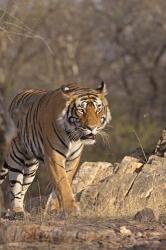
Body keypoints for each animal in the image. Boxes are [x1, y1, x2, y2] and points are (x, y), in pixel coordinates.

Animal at [0, 82, 111, 219]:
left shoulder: (73, 159)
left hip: (31, 167)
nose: (92, 127)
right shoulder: (54, 157)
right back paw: (17, 211)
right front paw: (71, 210)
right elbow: (62, 183)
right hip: (16, 156)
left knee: (23, 188)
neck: (73, 137)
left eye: (98, 109)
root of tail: (18, 96)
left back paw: (19, 211)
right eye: (81, 110)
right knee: (15, 186)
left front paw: (55, 209)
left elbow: (65, 181)